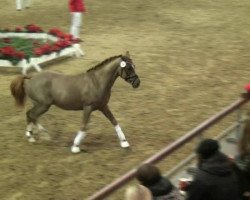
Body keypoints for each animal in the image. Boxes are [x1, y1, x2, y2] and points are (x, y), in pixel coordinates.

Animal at [10, 51, 141, 153]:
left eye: (134, 65)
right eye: (128, 68)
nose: (137, 83)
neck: (97, 82)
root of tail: (31, 77)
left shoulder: (103, 106)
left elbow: (114, 122)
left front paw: (124, 143)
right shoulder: (88, 107)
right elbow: (84, 126)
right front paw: (75, 147)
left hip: (38, 104)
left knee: (29, 114)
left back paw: (32, 136)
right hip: (43, 105)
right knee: (32, 115)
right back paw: (42, 135)